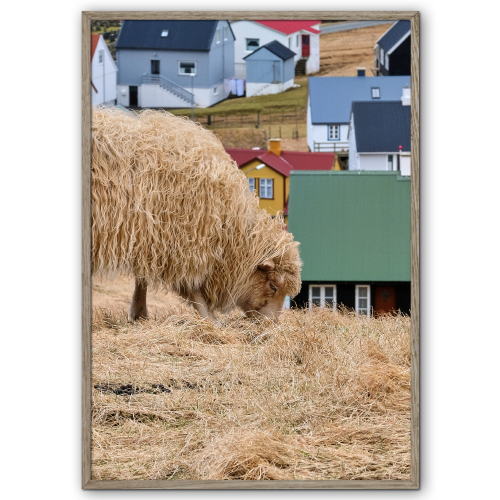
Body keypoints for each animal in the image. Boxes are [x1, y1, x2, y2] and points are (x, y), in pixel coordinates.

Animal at [91, 107, 300, 322]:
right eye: (273, 286)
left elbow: (143, 278)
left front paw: (139, 314)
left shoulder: (152, 239)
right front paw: (209, 319)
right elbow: (192, 288)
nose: (271, 323)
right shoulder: (182, 243)